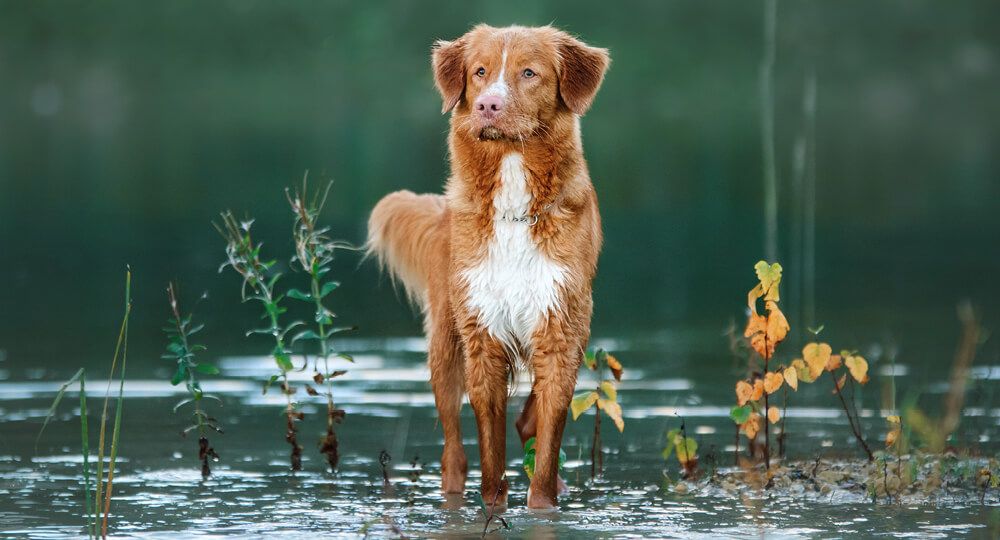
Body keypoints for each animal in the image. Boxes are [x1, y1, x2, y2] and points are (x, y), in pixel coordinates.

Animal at [366, 23, 604, 508]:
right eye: (479, 72)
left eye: (529, 72)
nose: (487, 105)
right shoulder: (482, 334)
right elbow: (490, 448)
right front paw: (493, 506)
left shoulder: (561, 321)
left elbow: (547, 435)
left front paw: (542, 503)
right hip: (444, 347)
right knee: (453, 452)